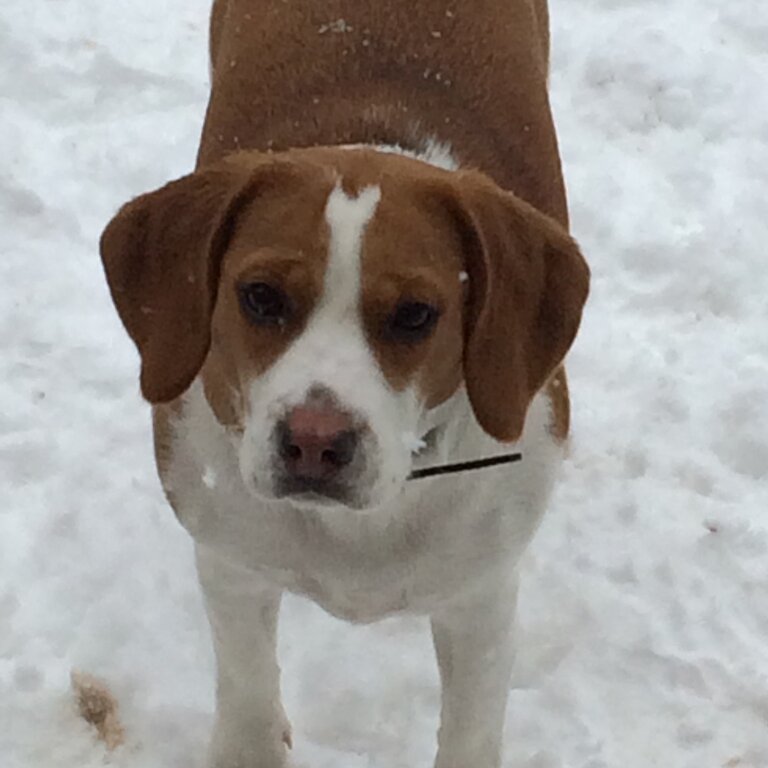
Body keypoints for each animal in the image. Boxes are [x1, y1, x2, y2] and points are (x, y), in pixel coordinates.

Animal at [99, 3, 592, 764]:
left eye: (416, 314)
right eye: (261, 296)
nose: (314, 441)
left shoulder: (479, 599)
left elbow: (470, 732)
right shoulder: (232, 563)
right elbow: (248, 707)